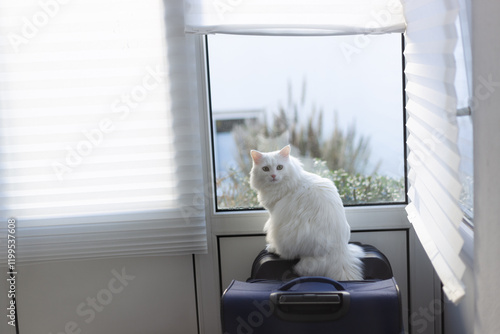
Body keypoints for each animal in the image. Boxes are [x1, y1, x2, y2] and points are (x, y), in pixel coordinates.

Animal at [249, 145, 364, 280]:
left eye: (279, 167)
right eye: (265, 169)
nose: (273, 175)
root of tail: (339, 251)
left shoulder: (273, 211)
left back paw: (273, 249)